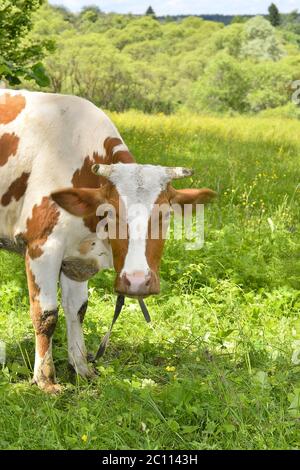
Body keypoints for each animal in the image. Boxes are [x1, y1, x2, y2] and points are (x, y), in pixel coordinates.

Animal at [0, 89, 216, 392]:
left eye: (166, 215)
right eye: (111, 213)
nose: (136, 281)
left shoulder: (76, 259)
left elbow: (77, 310)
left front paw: (81, 368)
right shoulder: (42, 246)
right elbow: (46, 314)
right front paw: (45, 380)